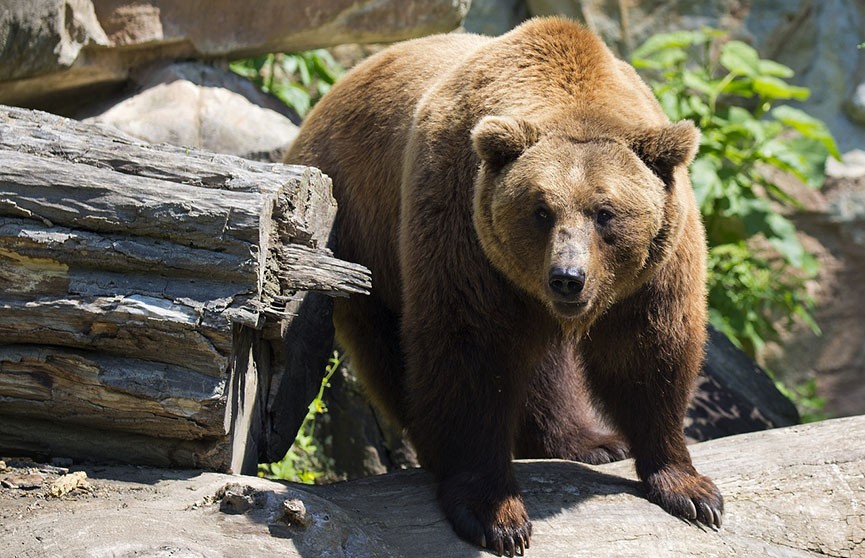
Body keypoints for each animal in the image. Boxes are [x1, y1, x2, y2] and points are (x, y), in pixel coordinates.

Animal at [288, 16, 724, 556]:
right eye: (541, 210)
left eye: (605, 212)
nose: (568, 279)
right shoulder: (463, 229)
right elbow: (471, 354)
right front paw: (495, 514)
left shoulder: (654, 269)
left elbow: (650, 352)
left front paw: (691, 490)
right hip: (360, 235)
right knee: (391, 351)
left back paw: (591, 442)